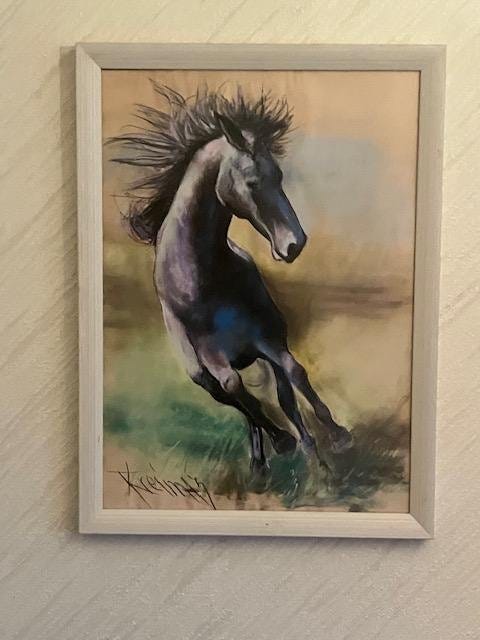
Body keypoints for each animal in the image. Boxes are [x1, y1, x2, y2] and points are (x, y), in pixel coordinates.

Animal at [110, 84, 352, 473]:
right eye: (252, 182)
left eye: (279, 176)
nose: (294, 243)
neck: (201, 277)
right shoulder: (212, 354)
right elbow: (235, 388)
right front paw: (281, 440)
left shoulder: (267, 337)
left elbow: (295, 372)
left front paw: (337, 434)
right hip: (203, 370)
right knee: (233, 397)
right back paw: (263, 458)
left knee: (283, 394)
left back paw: (308, 454)